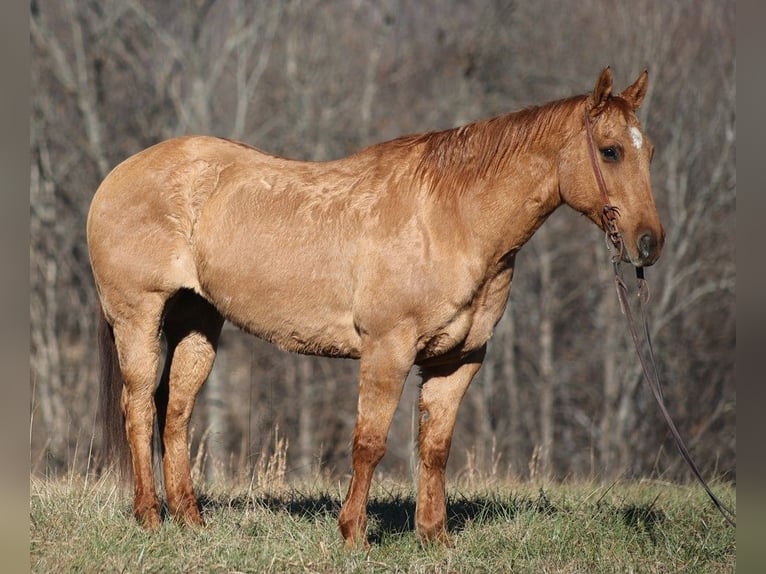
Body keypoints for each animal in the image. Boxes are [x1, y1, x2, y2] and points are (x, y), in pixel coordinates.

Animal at [87, 67, 664, 548]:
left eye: (650, 152)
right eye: (611, 151)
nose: (649, 243)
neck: (451, 217)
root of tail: (117, 175)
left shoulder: (458, 360)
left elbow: (434, 448)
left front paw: (434, 538)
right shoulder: (388, 350)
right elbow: (370, 443)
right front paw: (354, 535)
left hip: (198, 321)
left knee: (176, 412)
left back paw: (191, 521)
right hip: (139, 318)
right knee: (140, 407)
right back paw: (150, 517)